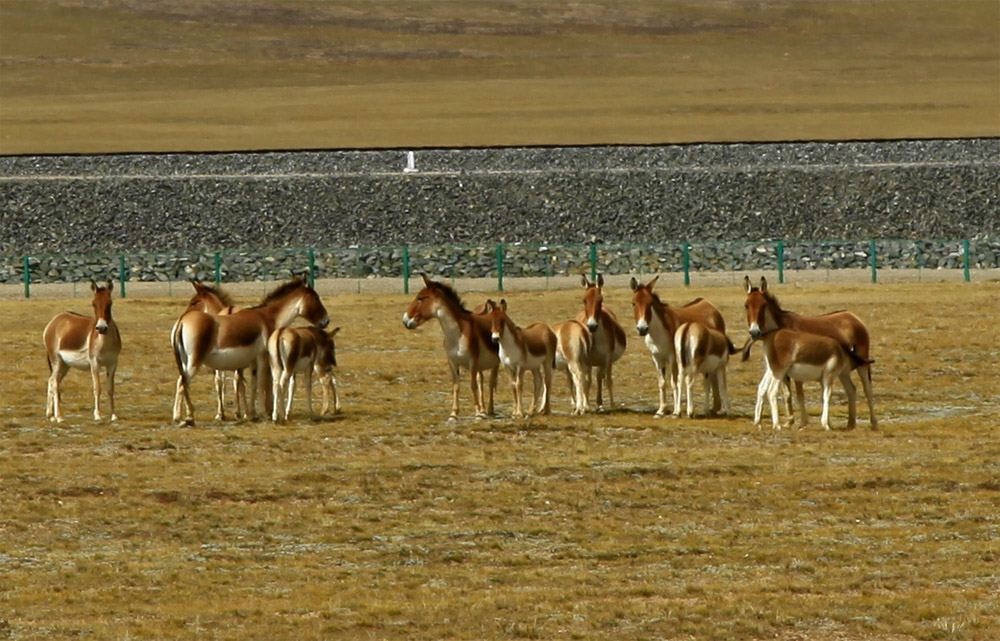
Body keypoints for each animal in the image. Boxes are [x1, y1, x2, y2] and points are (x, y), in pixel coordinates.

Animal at [43, 278, 122, 420]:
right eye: (93, 304)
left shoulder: (113, 362)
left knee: (52, 381)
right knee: (55, 382)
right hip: (56, 360)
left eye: (110, 303)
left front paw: (113, 415)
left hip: (65, 365)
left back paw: (50, 415)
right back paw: (59, 417)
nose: (102, 328)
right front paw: (97, 415)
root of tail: (55, 320)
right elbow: (97, 388)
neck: (104, 341)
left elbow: (110, 388)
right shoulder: (94, 362)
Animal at [402, 276, 500, 420]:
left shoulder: (473, 361)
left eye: (420, 298)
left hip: (497, 363)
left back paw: (490, 410)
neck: (457, 335)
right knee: (482, 381)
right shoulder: (453, 362)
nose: (405, 320)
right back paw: (484, 410)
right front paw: (454, 414)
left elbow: (472, 385)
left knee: (492, 382)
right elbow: (456, 386)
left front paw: (477, 412)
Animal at [580, 274, 624, 410]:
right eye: (584, 301)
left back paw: (600, 403)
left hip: (602, 361)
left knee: (600, 377)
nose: (592, 326)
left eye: (600, 300)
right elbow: (587, 382)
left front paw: (612, 405)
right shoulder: (587, 360)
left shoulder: (607, 358)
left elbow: (608, 381)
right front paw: (586, 406)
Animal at [628, 278, 724, 418]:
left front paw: (675, 410)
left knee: (713, 376)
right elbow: (662, 382)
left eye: (650, 304)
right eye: (633, 303)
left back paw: (714, 408)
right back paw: (713, 408)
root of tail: (708, 304)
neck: (658, 332)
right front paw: (661, 410)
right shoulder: (657, 358)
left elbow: (674, 382)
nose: (642, 329)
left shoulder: (673, 358)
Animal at [744, 276, 876, 430]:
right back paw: (850, 424)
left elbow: (799, 394)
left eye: (763, 305)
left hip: (862, 361)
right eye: (746, 305)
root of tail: (852, 316)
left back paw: (874, 423)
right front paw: (789, 421)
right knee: (851, 389)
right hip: (843, 369)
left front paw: (802, 422)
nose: (754, 332)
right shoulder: (780, 369)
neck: (780, 326)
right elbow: (787, 393)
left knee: (867, 389)